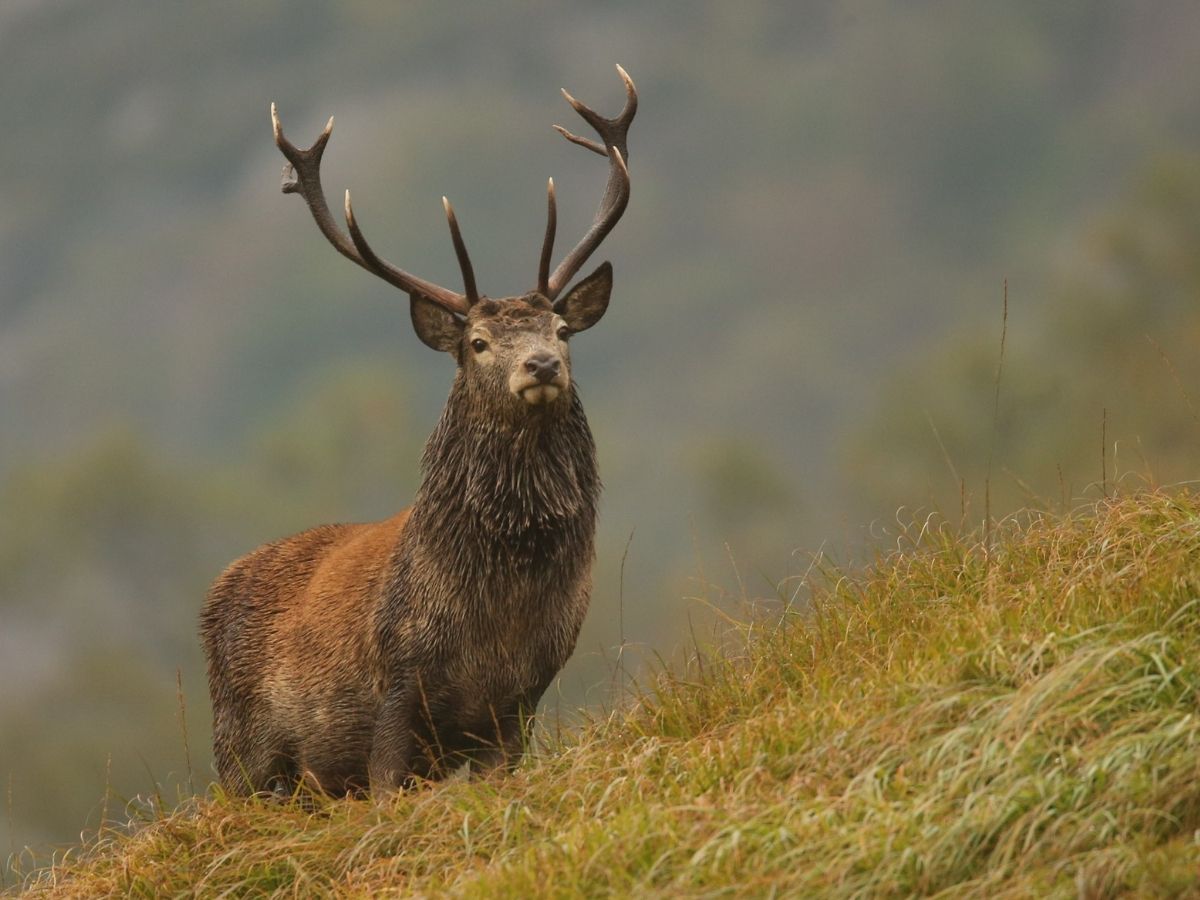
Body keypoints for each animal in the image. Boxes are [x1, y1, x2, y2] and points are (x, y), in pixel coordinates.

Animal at [200, 66, 636, 796]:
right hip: (240, 750)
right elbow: (385, 789)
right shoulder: (396, 682)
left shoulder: (520, 700)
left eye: (562, 330)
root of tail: (214, 589)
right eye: (478, 343)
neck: (498, 617)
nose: (542, 364)